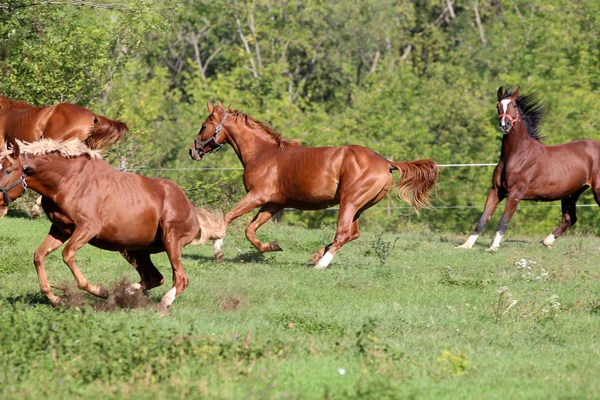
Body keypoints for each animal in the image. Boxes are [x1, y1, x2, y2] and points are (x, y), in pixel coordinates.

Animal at [0, 139, 225, 314]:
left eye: (9, 170)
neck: (68, 180)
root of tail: (192, 211)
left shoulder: (87, 229)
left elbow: (68, 255)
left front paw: (99, 290)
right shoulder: (60, 230)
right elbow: (39, 256)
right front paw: (55, 299)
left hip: (172, 241)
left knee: (180, 279)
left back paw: (161, 304)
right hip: (133, 250)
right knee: (154, 277)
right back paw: (122, 295)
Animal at [188, 101, 436, 268]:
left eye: (203, 125)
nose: (193, 151)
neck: (263, 154)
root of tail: (386, 163)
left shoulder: (257, 196)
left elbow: (228, 217)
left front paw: (218, 252)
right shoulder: (273, 204)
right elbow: (250, 230)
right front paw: (271, 247)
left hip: (349, 202)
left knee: (343, 233)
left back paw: (320, 264)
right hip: (359, 206)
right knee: (352, 234)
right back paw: (315, 257)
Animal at [458, 87, 600, 250]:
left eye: (514, 105)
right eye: (498, 106)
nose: (504, 125)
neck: (518, 155)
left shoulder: (515, 193)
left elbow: (504, 220)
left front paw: (493, 247)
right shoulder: (496, 191)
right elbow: (483, 218)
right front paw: (465, 245)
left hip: (596, 190)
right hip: (571, 194)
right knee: (569, 218)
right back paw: (547, 241)